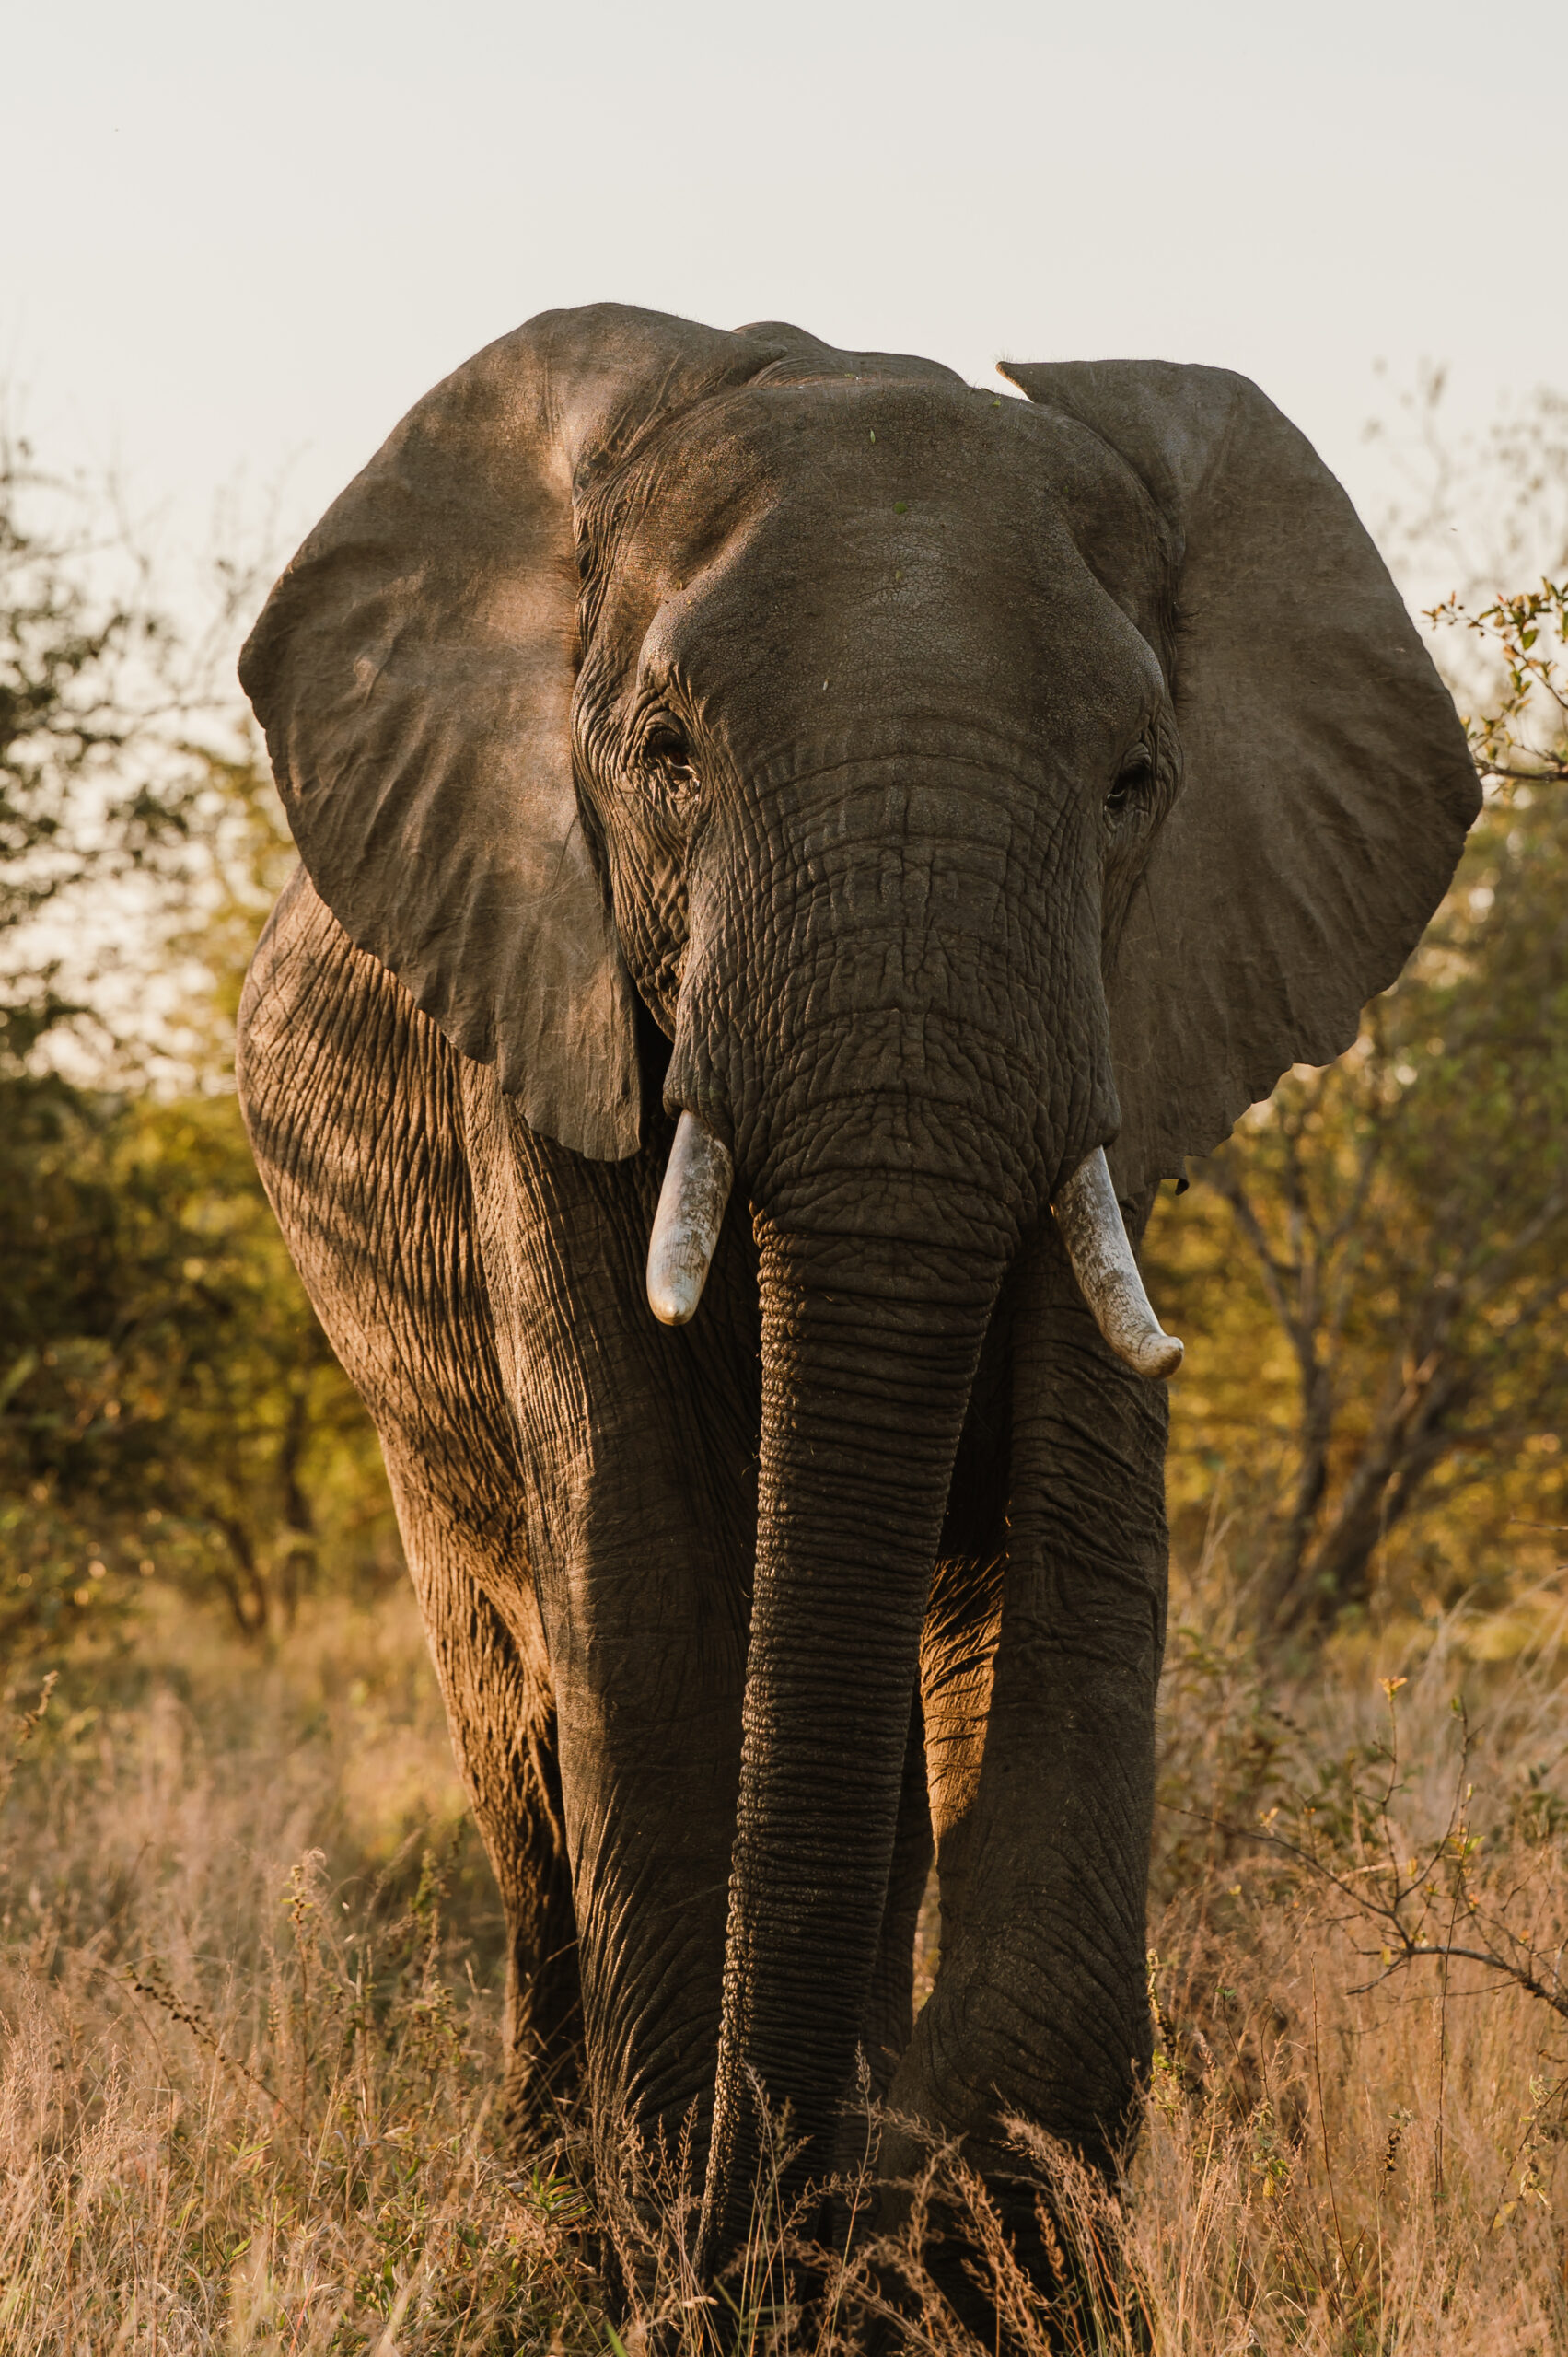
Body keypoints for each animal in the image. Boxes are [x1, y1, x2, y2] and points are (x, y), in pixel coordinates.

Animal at [234, 303, 1477, 2297]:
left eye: (1132, 782)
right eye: (665, 753)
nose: (788, 2204)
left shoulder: (1124, 1025)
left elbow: (1066, 1564)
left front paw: (954, 2263)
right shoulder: (545, 995)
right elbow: (651, 1566)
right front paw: (713, 2265)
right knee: (522, 1742)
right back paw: (559, 2209)